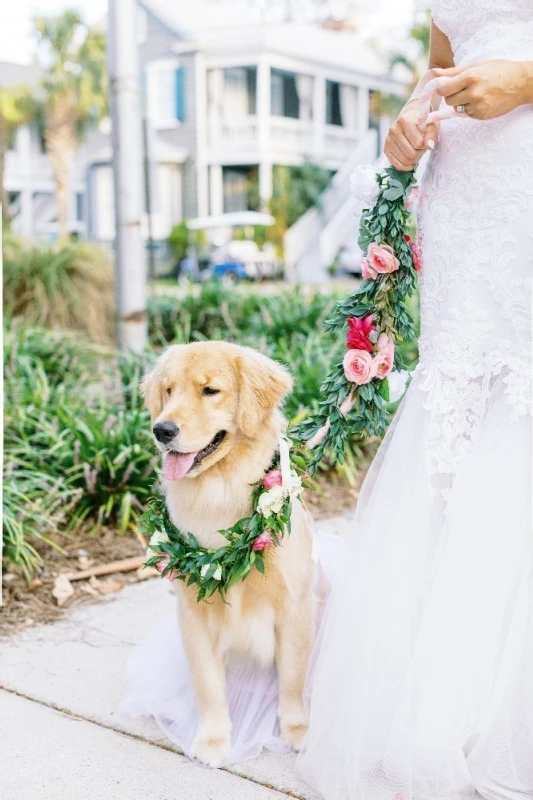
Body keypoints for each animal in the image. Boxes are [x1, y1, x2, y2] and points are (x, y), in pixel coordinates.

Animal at [141, 340, 318, 764]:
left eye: (210, 391)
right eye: (168, 391)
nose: (161, 430)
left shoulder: (296, 605)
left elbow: (292, 676)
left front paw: (297, 730)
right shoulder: (192, 612)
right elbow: (208, 684)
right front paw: (212, 740)